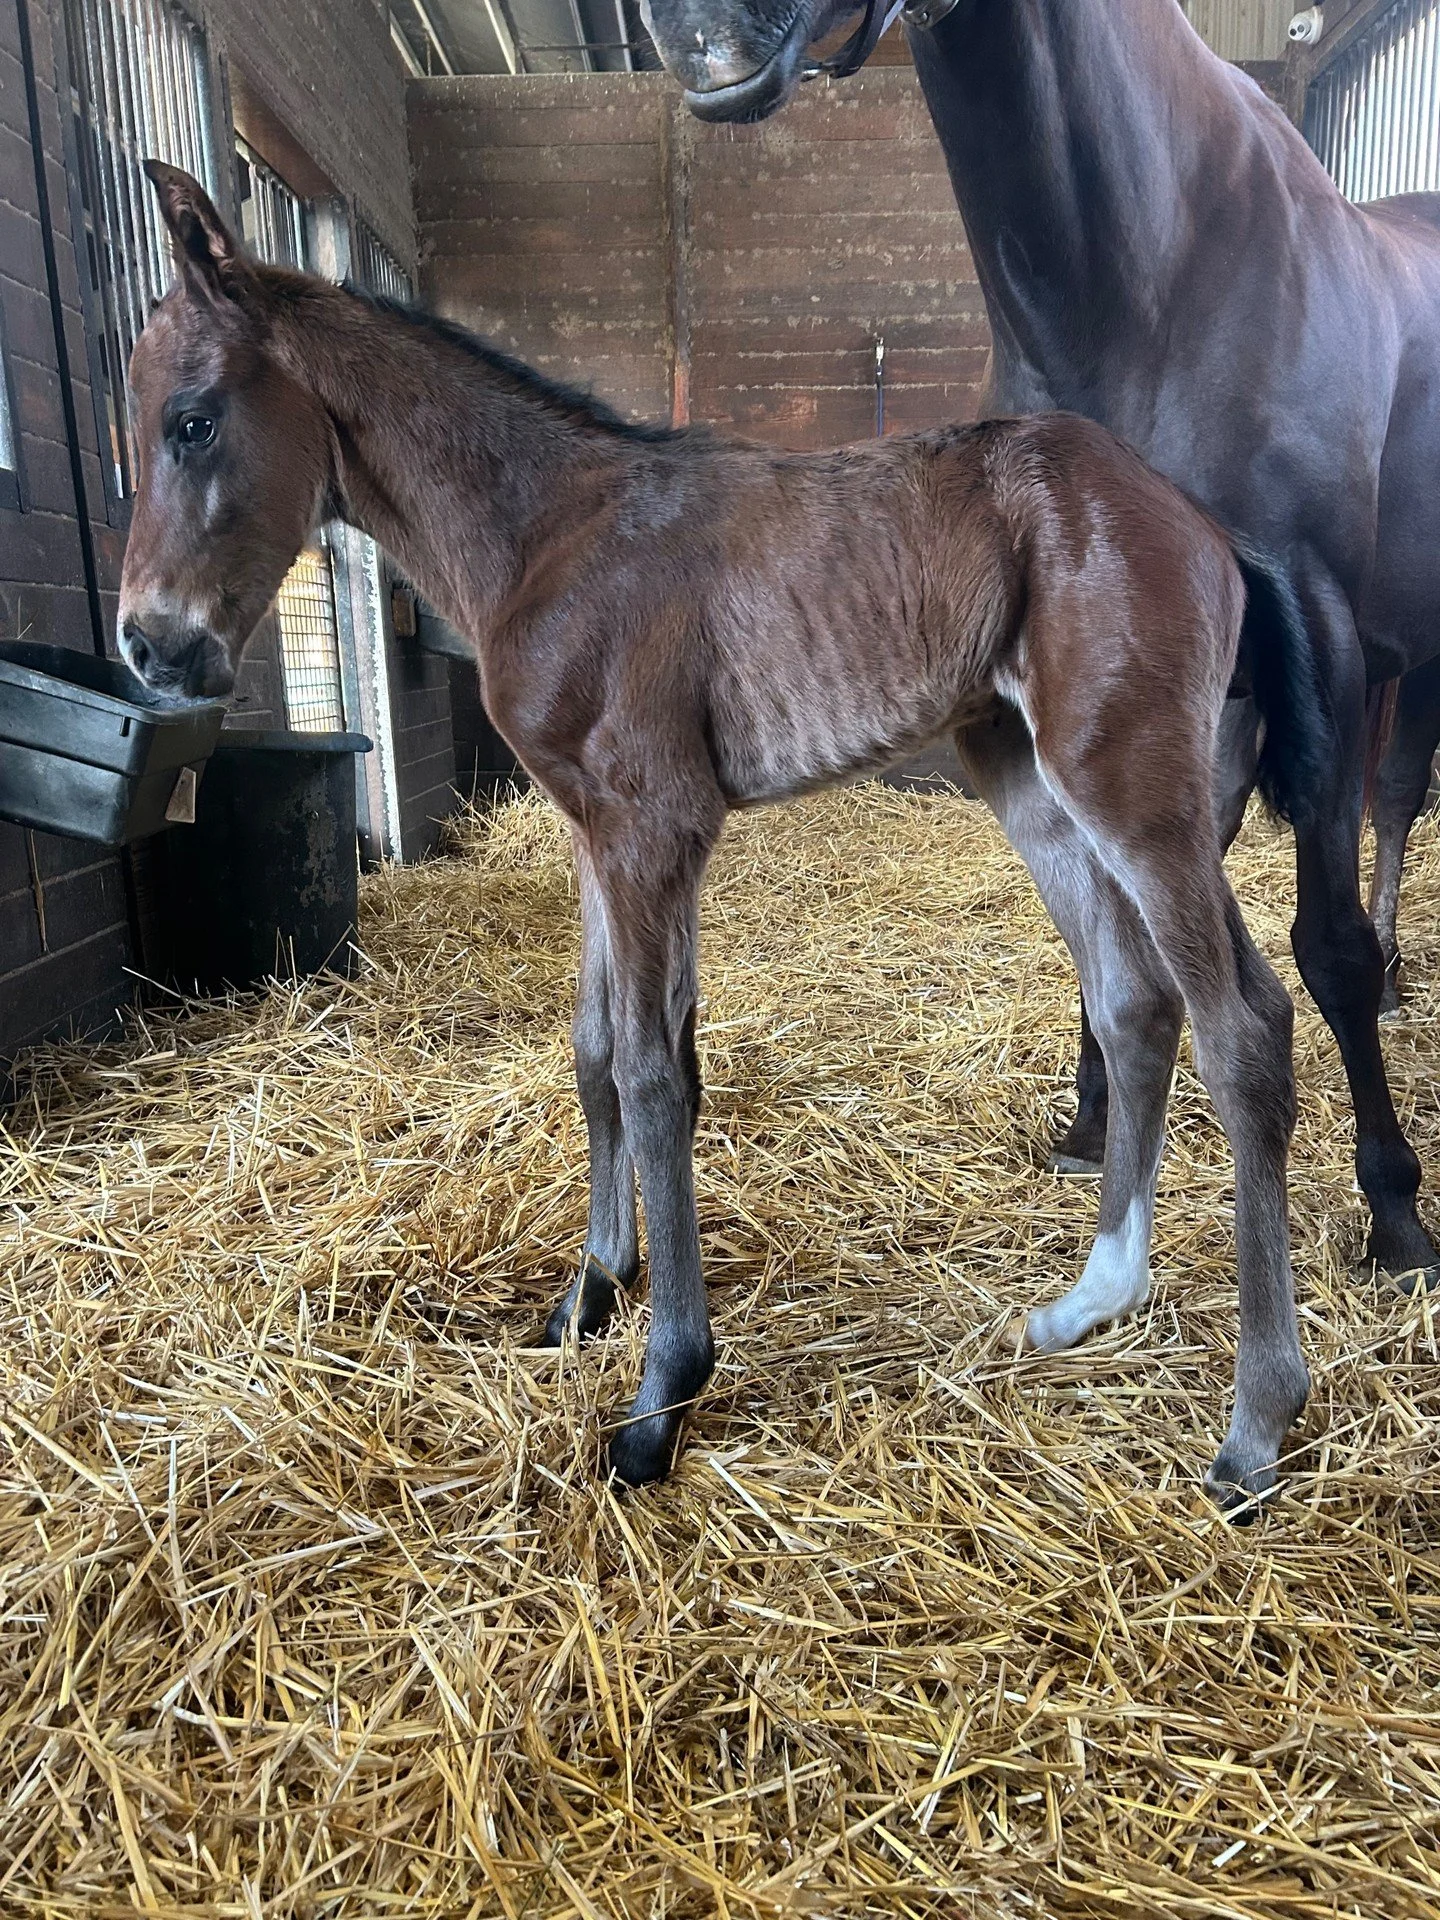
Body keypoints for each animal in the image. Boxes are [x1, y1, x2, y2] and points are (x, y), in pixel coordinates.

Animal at [119, 161, 1313, 1503]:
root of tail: (1208, 528)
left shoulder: (653, 827)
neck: (546, 535)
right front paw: (589, 1293)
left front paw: (660, 1395)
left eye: (192, 421)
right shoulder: (595, 832)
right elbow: (598, 1052)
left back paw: (1256, 1423)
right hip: (1030, 784)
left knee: (1241, 1028)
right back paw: (1089, 1301)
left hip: (1132, 787)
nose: (150, 646)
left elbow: (652, 1076)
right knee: (1133, 1002)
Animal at [640, 0, 1440, 1292]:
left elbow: (1330, 948)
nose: (696, 26)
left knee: (1392, 808)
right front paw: (1092, 1123)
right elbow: (1112, 918)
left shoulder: (1324, 634)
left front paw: (1398, 1212)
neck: (1159, 276)